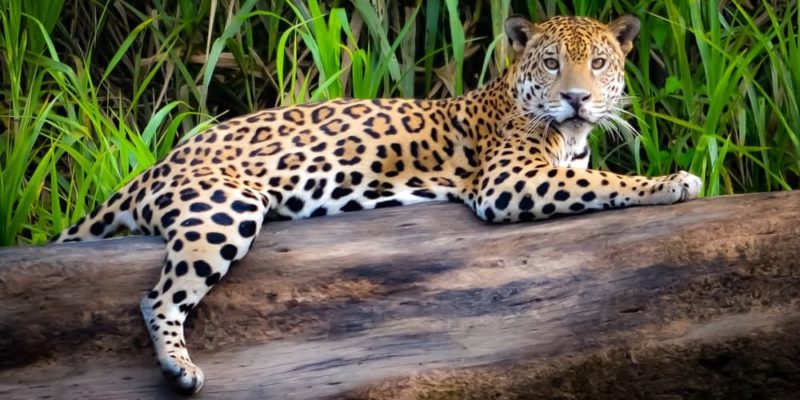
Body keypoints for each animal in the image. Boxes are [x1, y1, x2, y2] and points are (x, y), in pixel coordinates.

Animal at [52, 14, 702, 394]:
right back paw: (179, 369)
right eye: (551, 63)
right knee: (157, 296)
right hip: (224, 207)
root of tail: (160, 162)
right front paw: (672, 181)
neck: (567, 135)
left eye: (599, 63)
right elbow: (608, 182)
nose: (576, 98)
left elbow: (595, 176)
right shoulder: (508, 180)